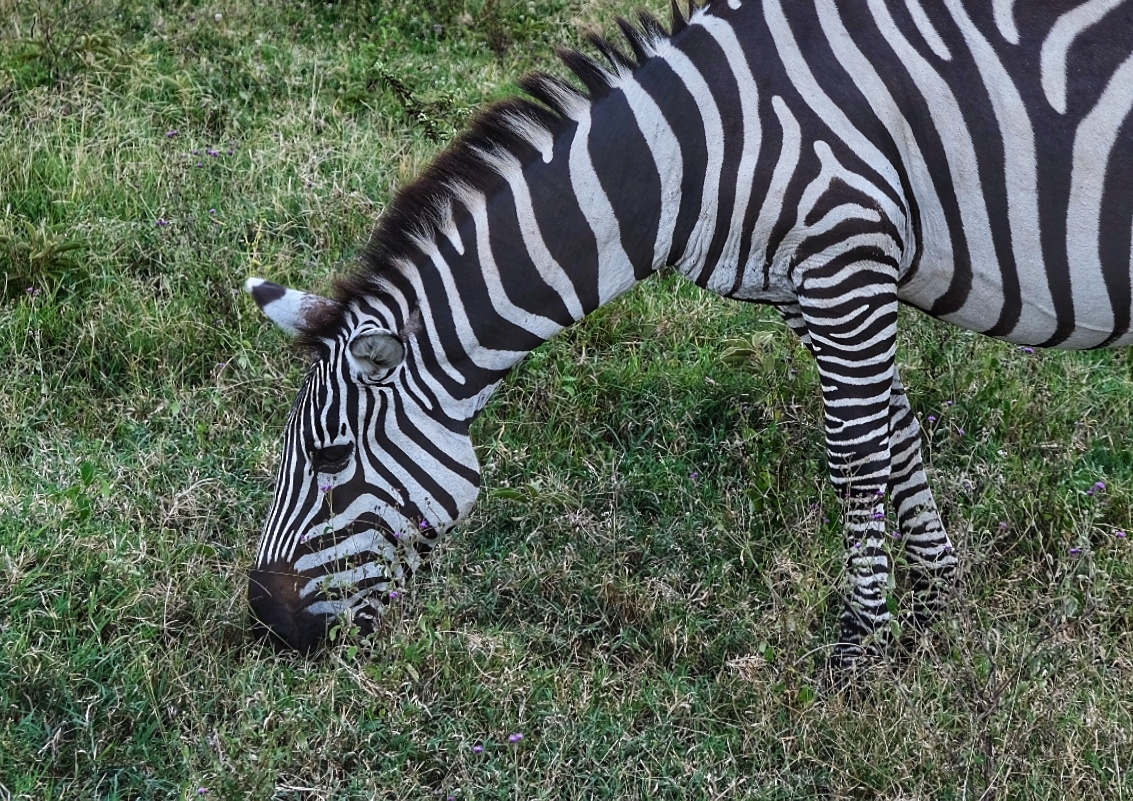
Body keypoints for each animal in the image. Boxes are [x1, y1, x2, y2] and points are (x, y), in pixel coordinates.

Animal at [245, 0, 1133, 666]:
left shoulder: (845, 252)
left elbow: (856, 457)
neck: (685, 159)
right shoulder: (805, 284)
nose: (264, 620)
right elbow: (898, 431)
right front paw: (931, 603)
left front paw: (861, 648)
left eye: (329, 458)